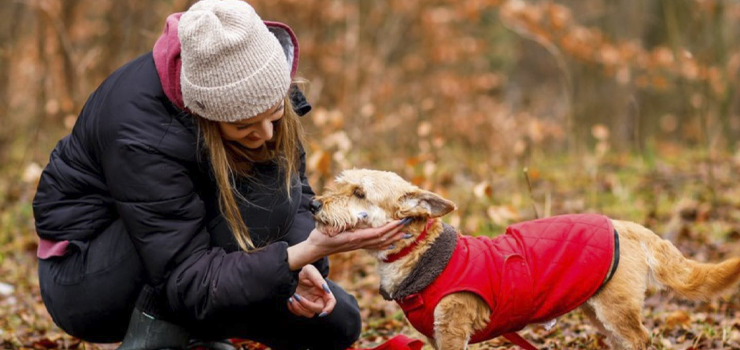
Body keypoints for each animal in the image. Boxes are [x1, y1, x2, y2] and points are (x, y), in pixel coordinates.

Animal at [310, 170, 740, 350]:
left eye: (359, 193)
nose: (313, 204)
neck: (421, 254)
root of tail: (628, 226)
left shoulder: (453, 331)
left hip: (616, 310)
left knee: (640, 339)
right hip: (596, 311)